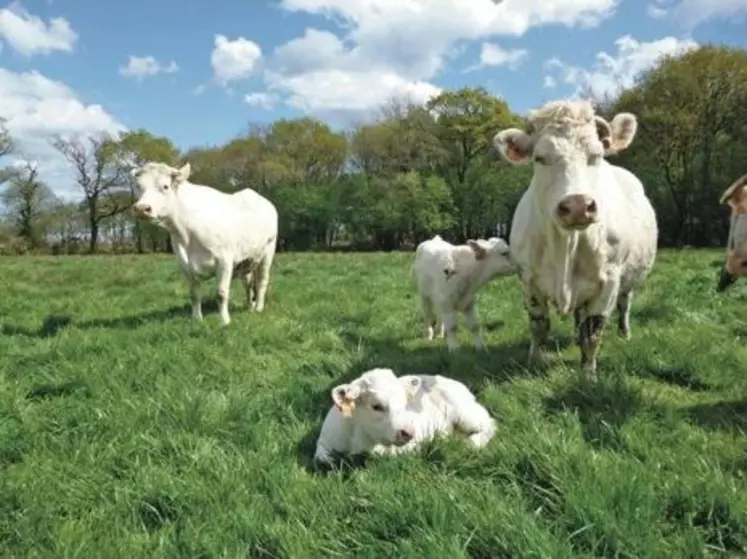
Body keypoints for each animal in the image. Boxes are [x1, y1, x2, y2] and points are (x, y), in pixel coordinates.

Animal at [130, 160, 280, 326]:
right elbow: (194, 294)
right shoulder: (185, 265)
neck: (187, 236)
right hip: (247, 259)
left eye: (165, 186)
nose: (141, 208)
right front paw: (197, 319)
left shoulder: (224, 261)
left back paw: (259, 307)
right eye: (139, 187)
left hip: (268, 251)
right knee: (247, 283)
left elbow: (221, 293)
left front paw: (225, 322)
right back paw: (249, 307)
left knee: (262, 281)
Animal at [314, 368, 496, 464]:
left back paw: (472, 443)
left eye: (404, 404)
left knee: (490, 425)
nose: (408, 432)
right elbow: (322, 459)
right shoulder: (324, 442)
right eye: (376, 406)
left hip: (465, 412)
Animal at [494, 99, 656, 380]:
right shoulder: (528, 279)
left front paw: (588, 376)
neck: (564, 247)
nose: (578, 205)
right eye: (540, 158)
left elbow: (593, 332)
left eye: (596, 155)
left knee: (624, 304)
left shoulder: (609, 282)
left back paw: (624, 333)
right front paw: (534, 362)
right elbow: (538, 326)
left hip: (628, 280)